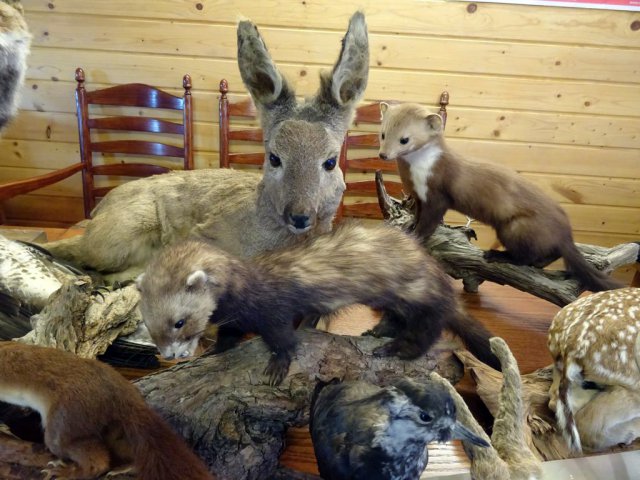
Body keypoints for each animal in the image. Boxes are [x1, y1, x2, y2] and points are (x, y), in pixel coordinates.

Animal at [0, 342, 215, 480]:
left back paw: (63, 473)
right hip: (114, 428)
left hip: (63, 421)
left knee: (95, 460)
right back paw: (124, 469)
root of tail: (121, 392)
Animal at [378, 102, 624, 292]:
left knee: (527, 256)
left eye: (404, 139)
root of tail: (566, 231)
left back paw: (497, 255)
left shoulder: (437, 196)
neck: (416, 175)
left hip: (515, 226)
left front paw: (416, 237)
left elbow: (429, 223)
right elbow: (418, 216)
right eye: (382, 133)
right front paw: (410, 228)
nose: (383, 154)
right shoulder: (419, 196)